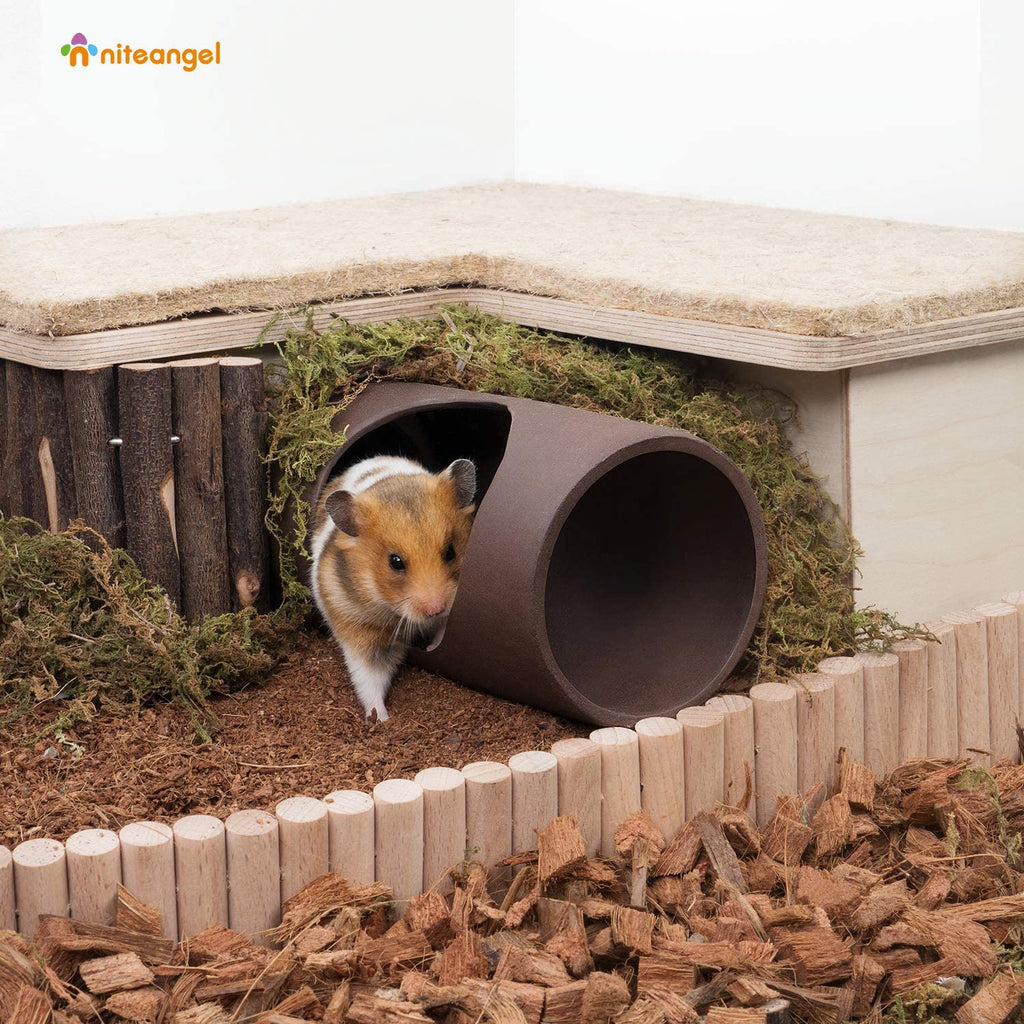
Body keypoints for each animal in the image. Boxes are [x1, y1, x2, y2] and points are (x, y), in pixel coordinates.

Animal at [310, 455, 477, 721]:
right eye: (395, 562)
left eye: (450, 552)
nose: (435, 609)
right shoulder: (359, 629)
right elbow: (369, 680)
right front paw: (381, 719)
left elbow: (443, 630)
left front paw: (431, 645)